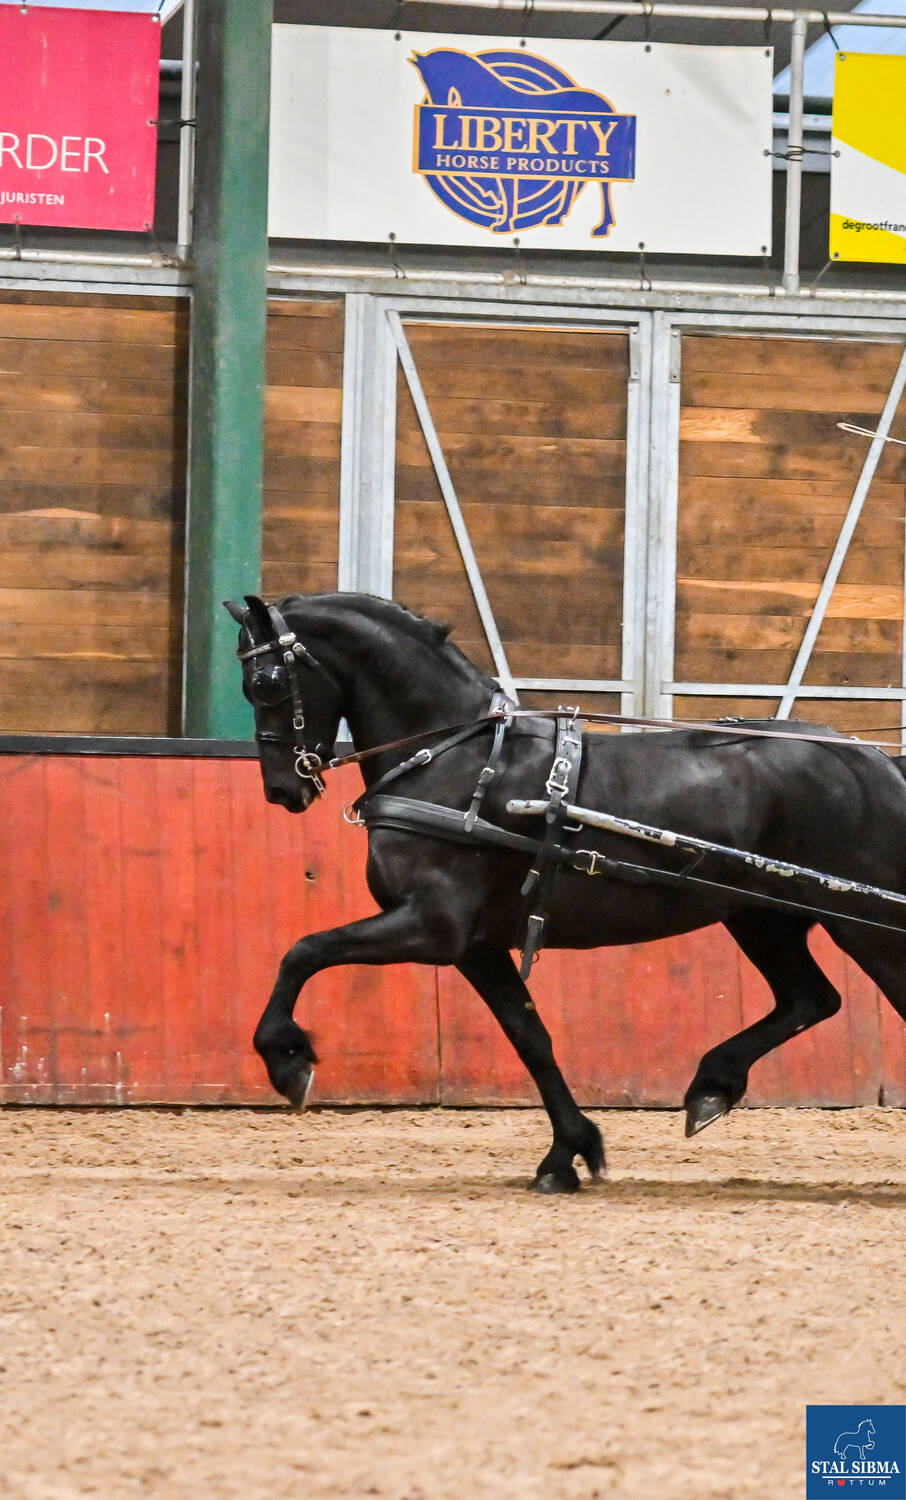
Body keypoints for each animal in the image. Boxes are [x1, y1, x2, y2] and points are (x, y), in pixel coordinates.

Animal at [225, 591, 906, 1188]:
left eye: (266, 683)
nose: (282, 789)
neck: (458, 758)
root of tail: (877, 760)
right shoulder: (476, 946)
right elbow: (531, 1038)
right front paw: (569, 1153)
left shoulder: (431, 925)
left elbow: (304, 951)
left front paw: (286, 1059)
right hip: (763, 917)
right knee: (809, 999)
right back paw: (712, 1086)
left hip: (860, 922)